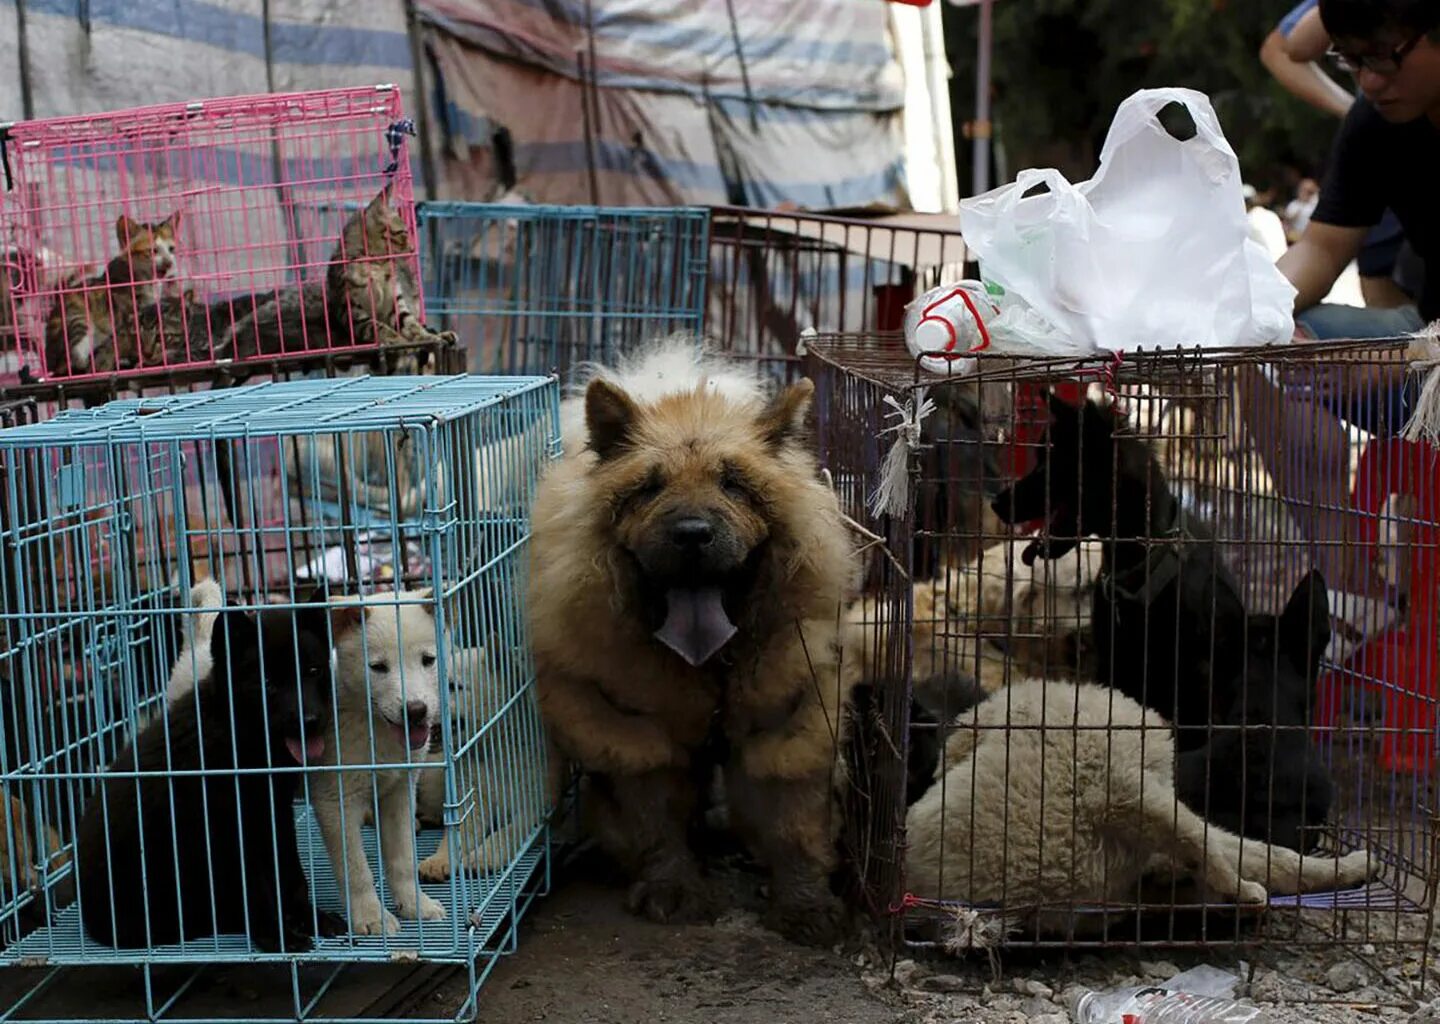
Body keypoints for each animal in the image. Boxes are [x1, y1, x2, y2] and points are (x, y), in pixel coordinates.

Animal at [42, 214, 180, 377]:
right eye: (153, 250)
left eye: (171, 249)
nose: (169, 263)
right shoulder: (126, 312)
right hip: (78, 320)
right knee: (73, 360)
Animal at [532, 338, 858, 944]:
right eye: (649, 488)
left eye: (733, 484)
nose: (691, 533)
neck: (709, 663)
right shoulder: (637, 730)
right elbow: (655, 820)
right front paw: (673, 890)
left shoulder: (786, 720)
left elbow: (795, 823)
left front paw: (806, 907)